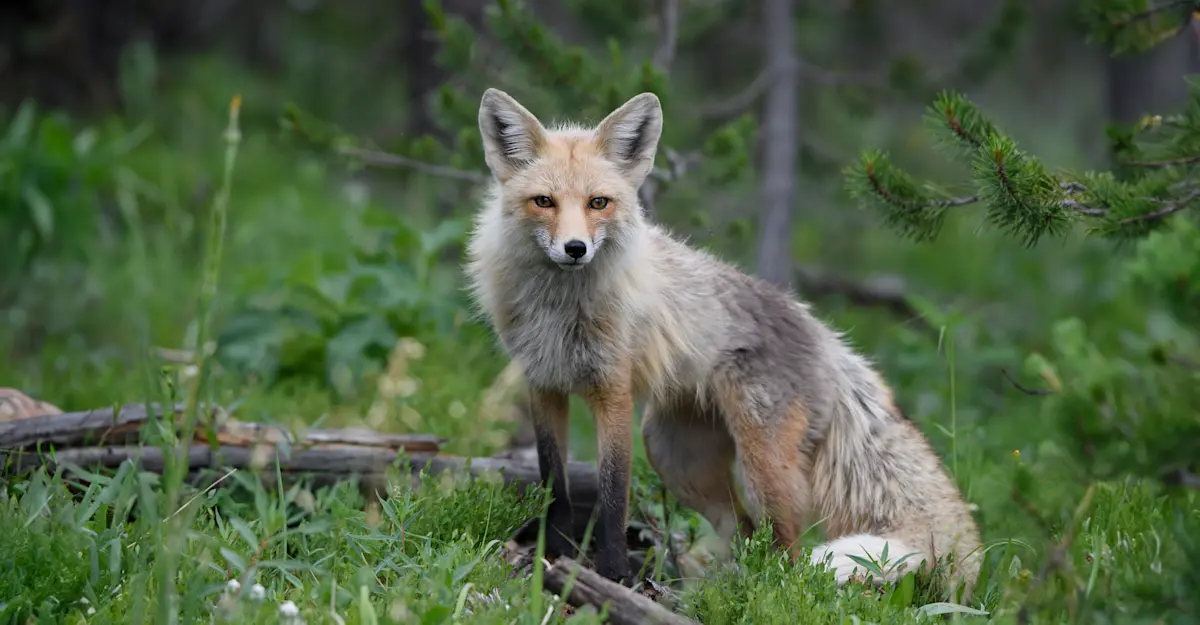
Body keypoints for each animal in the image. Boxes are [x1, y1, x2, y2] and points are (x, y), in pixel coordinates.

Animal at [464, 88, 983, 596]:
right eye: (544, 202)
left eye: (598, 203)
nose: (575, 249)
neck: (559, 310)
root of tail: (822, 332)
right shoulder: (543, 383)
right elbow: (553, 481)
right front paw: (550, 554)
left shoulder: (612, 392)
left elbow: (613, 497)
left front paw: (612, 576)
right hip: (675, 455)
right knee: (746, 533)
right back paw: (722, 587)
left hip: (762, 470)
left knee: (789, 555)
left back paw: (768, 594)